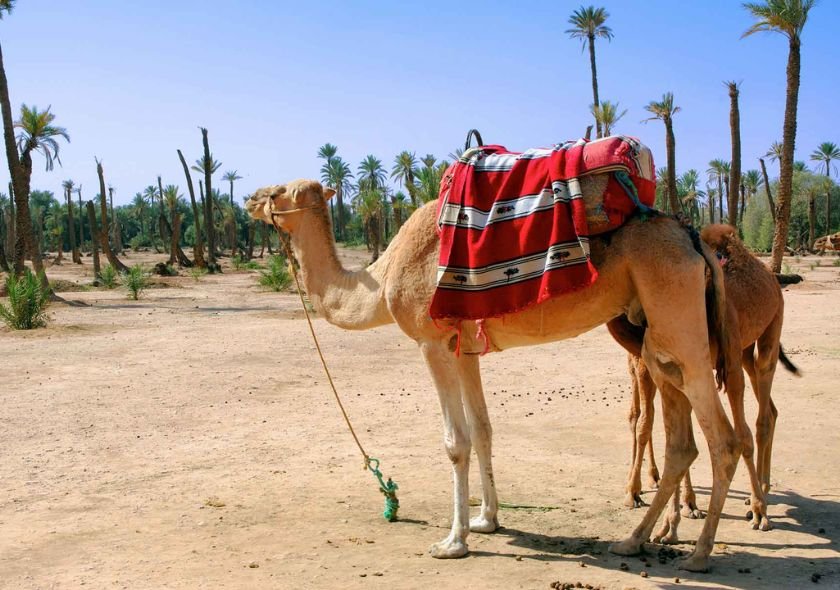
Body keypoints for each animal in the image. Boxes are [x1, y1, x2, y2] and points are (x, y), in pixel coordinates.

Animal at [247, 178, 742, 572]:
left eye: (277, 191)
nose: (250, 199)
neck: (383, 278)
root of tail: (694, 239)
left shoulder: (432, 342)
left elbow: (455, 441)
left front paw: (453, 541)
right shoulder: (464, 349)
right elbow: (483, 429)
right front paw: (487, 519)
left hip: (677, 316)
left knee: (724, 439)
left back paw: (699, 554)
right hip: (656, 336)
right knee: (683, 442)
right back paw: (634, 540)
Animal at [609, 224, 797, 536]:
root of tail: (771, 277)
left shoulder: (713, 360)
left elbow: (735, 434)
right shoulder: (665, 366)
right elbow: (662, 428)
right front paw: (672, 518)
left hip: (770, 329)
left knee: (762, 415)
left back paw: (759, 501)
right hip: (742, 351)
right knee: (769, 409)